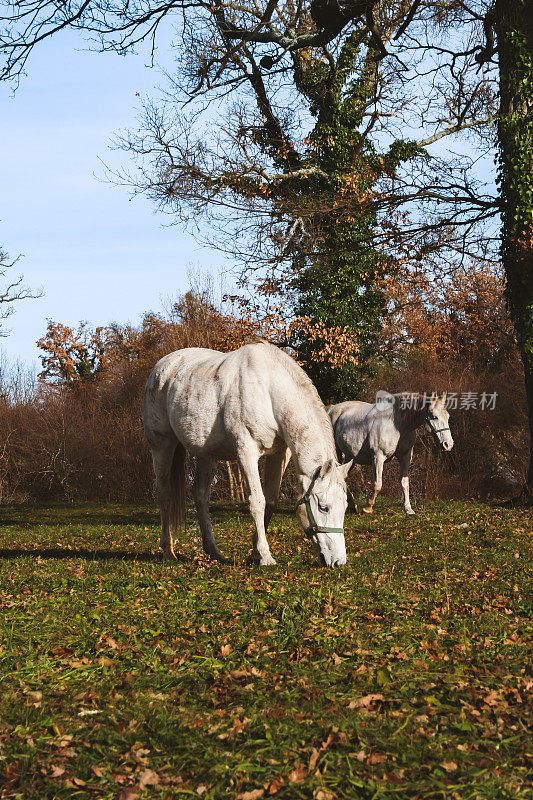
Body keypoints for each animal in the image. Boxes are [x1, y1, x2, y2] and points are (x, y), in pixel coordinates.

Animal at [141, 340, 352, 564]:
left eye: (345, 506)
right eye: (324, 507)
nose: (338, 561)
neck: (269, 391)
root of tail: (163, 366)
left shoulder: (278, 454)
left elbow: (270, 501)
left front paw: (255, 552)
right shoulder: (246, 452)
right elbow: (257, 501)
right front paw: (266, 556)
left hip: (207, 454)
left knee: (200, 494)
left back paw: (213, 551)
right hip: (162, 445)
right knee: (164, 493)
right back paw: (168, 551)